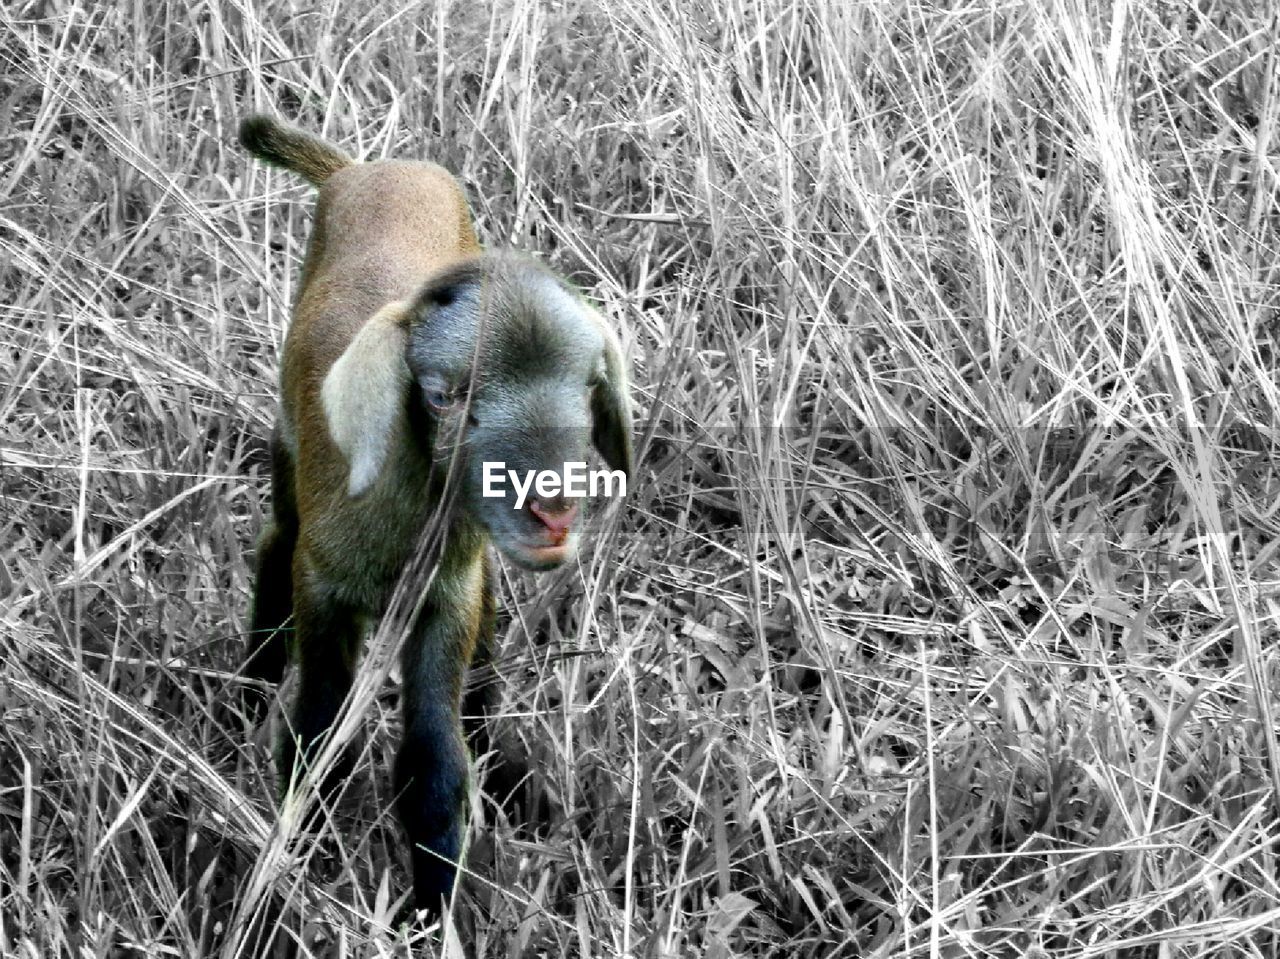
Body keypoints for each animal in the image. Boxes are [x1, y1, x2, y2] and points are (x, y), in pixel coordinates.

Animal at [236, 115, 634, 916]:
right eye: (444, 396)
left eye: (589, 386)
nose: (553, 510)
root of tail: (363, 169)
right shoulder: (325, 591)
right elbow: (315, 741)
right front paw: (286, 882)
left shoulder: (445, 600)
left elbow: (436, 767)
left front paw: (428, 913)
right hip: (289, 460)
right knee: (272, 542)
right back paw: (251, 685)